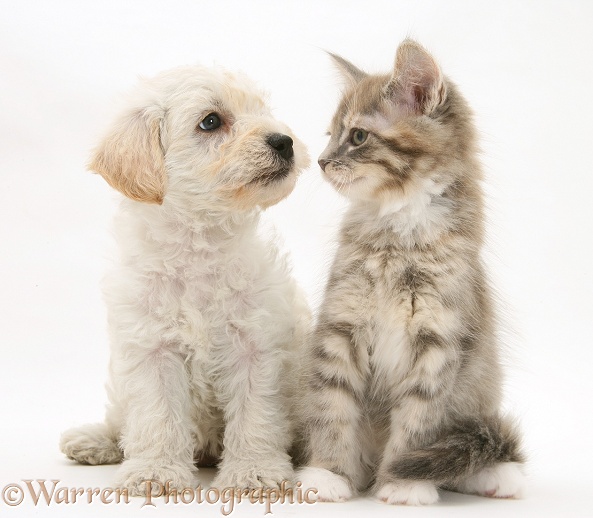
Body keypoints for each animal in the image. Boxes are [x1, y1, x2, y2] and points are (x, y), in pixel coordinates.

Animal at [59, 67, 310, 498]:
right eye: (210, 121)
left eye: (262, 111)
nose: (284, 141)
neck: (199, 244)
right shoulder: (153, 350)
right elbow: (157, 418)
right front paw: (154, 471)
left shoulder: (256, 348)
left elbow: (256, 414)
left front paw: (254, 471)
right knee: (121, 419)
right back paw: (94, 440)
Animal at [296, 41, 524, 508]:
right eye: (330, 135)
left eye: (358, 136)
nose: (323, 162)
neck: (397, 238)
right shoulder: (340, 328)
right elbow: (331, 408)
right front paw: (327, 474)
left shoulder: (440, 343)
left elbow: (418, 424)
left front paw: (401, 483)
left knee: (462, 451)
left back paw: (496, 476)